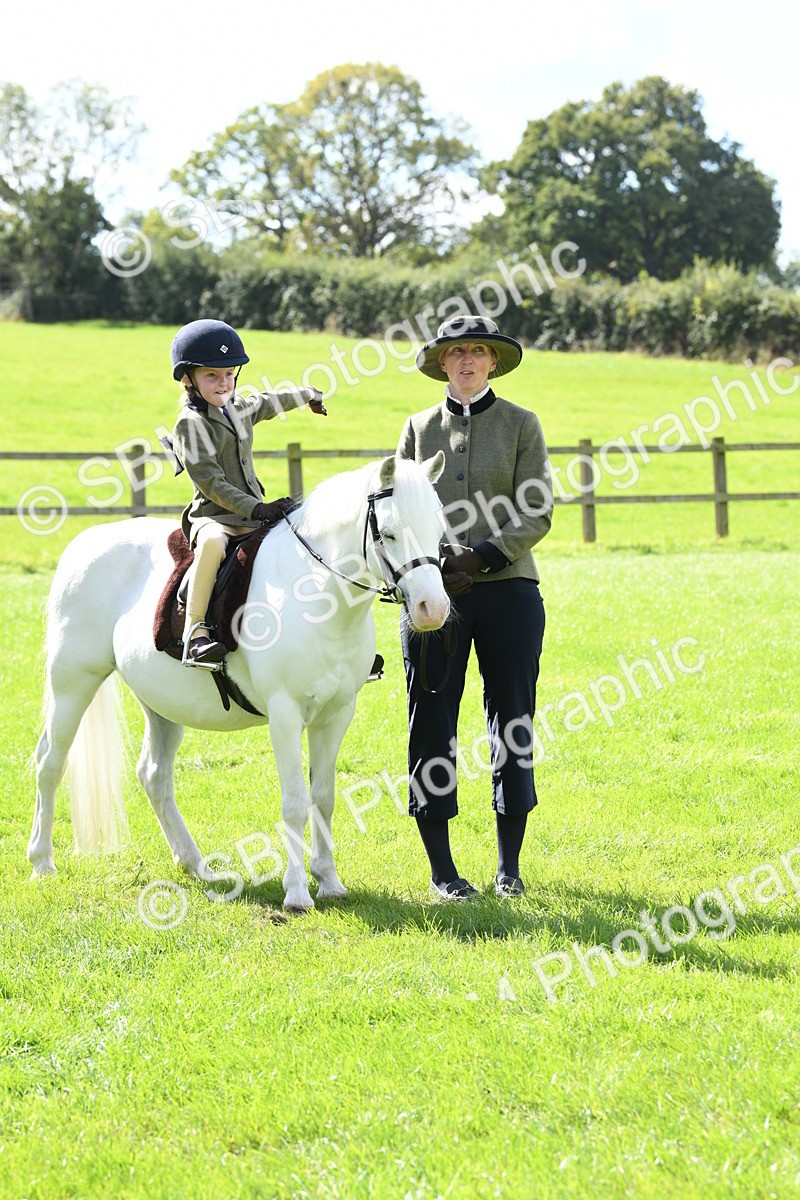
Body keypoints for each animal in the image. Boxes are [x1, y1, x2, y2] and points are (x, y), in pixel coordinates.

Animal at [27, 452, 449, 911]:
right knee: (50, 763)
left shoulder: (336, 715)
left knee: (154, 775)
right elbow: (296, 802)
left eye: (439, 530)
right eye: (388, 533)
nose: (432, 609)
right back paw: (42, 862)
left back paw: (196, 865)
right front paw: (297, 892)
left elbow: (323, 798)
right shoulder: (285, 714)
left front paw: (329, 881)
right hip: (73, 683)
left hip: (159, 704)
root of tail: (83, 544)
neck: (316, 594)